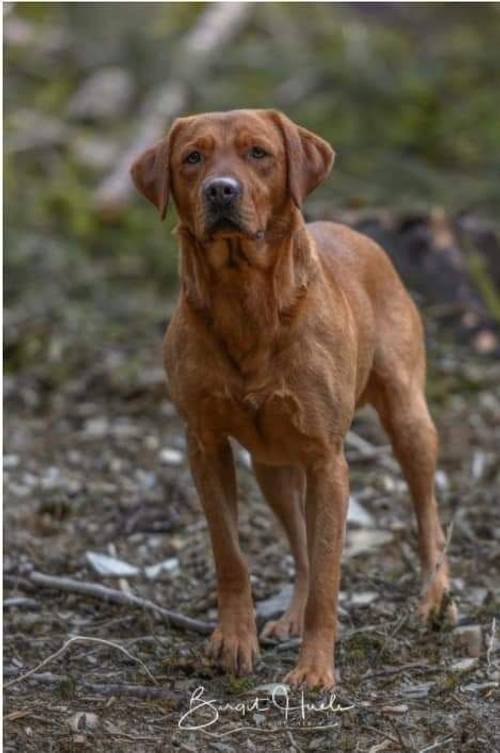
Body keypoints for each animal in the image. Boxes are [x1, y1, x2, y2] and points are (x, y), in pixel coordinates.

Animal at [130, 107, 458, 688]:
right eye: (192, 157)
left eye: (259, 152)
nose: (221, 189)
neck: (246, 302)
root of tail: (359, 233)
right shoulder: (205, 444)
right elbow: (231, 554)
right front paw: (233, 642)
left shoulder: (328, 460)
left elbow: (330, 572)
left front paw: (315, 668)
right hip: (272, 465)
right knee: (302, 545)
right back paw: (290, 617)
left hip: (408, 418)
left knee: (426, 516)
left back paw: (434, 599)